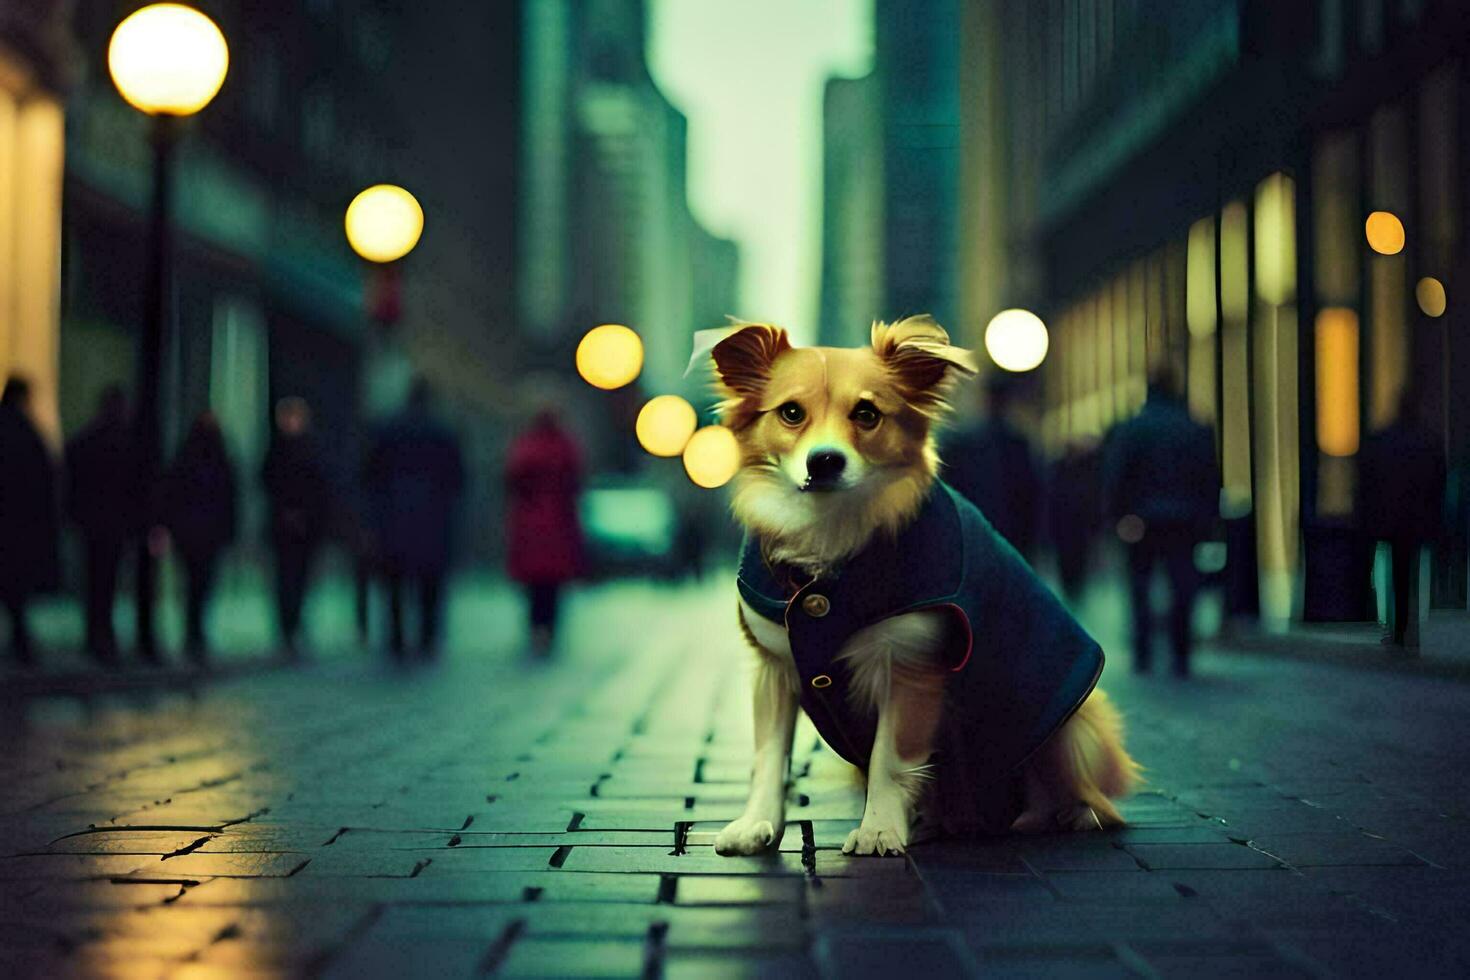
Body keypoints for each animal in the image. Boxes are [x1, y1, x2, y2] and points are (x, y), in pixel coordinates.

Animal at [708, 315, 1134, 858]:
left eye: (867, 413)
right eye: (790, 413)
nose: (824, 461)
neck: (832, 532)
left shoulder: (912, 668)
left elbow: (890, 759)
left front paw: (878, 830)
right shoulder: (776, 667)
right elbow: (768, 756)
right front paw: (757, 823)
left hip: (1074, 723)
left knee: (1081, 792)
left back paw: (1067, 813)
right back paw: (936, 821)